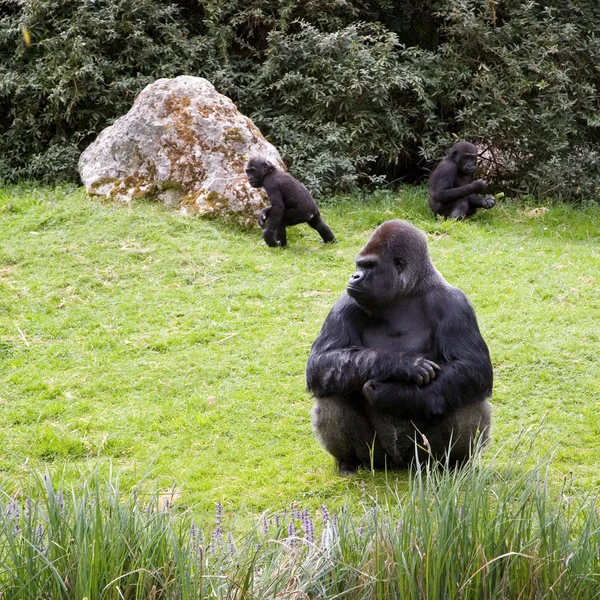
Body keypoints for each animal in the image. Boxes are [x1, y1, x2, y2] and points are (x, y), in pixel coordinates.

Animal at [304, 218, 492, 476]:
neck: (406, 292)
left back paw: (454, 465)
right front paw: (400, 364)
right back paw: (348, 461)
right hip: (376, 456)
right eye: (360, 264)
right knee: (331, 392)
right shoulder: (346, 303)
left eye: (370, 266)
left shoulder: (454, 304)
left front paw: (393, 395)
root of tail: (398, 463)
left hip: (422, 458)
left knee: (468, 397)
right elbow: (321, 362)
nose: (355, 276)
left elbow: (473, 367)